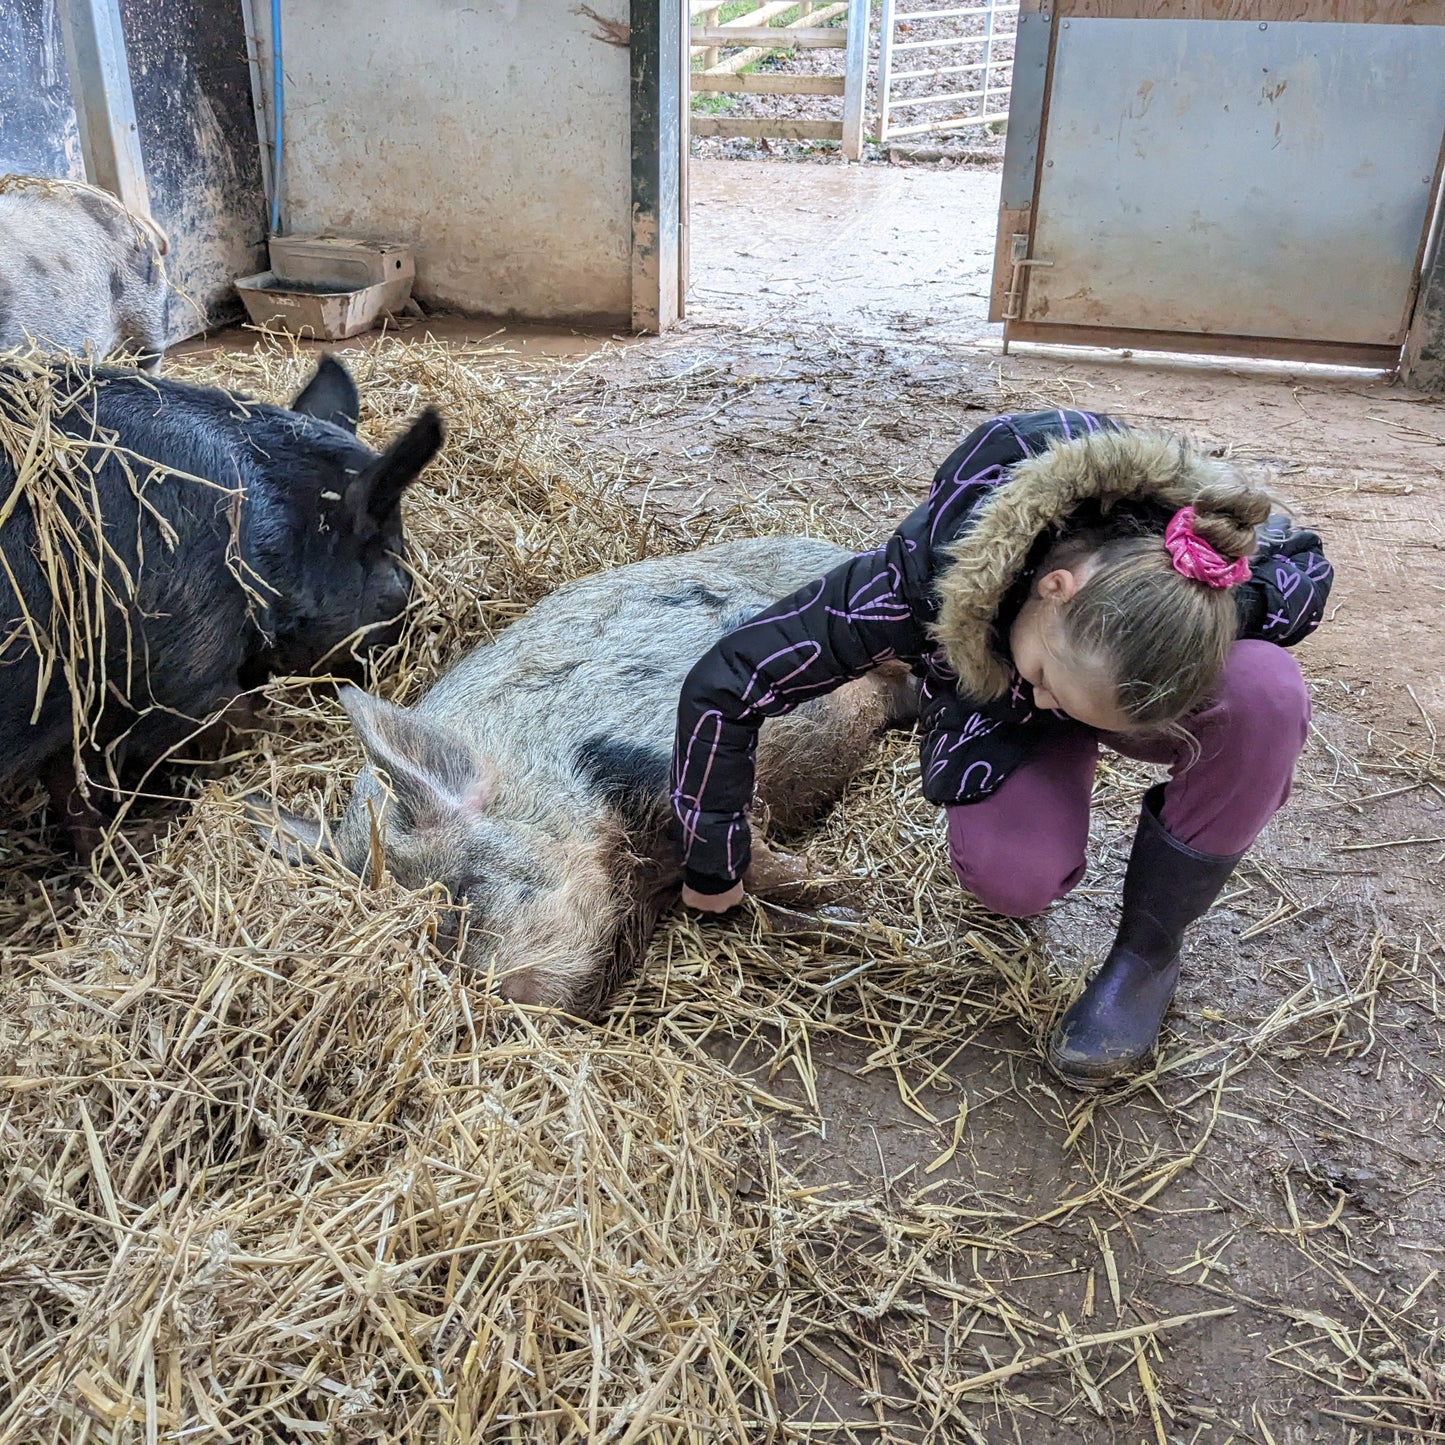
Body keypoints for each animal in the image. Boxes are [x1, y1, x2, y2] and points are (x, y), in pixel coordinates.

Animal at [0, 353, 443, 852]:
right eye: (393, 563)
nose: (405, 642)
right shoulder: (187, 669)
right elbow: (240, 722)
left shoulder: (74, 705)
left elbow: (68, 785)